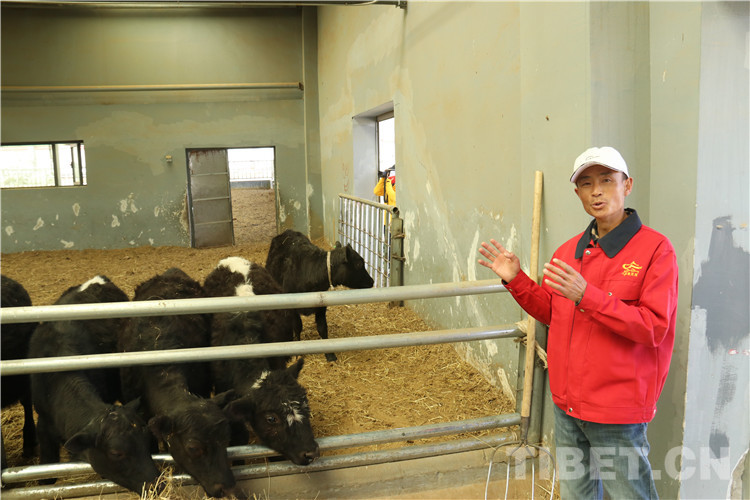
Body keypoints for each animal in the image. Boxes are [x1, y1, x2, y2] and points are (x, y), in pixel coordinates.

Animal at [266, 229, 374, 361]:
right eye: (359, 264)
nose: (372, 281)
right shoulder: (293, 308)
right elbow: (297, 326)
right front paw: (297, 351)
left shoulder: (321, 306)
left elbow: (322, 328)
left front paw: (330, 354)